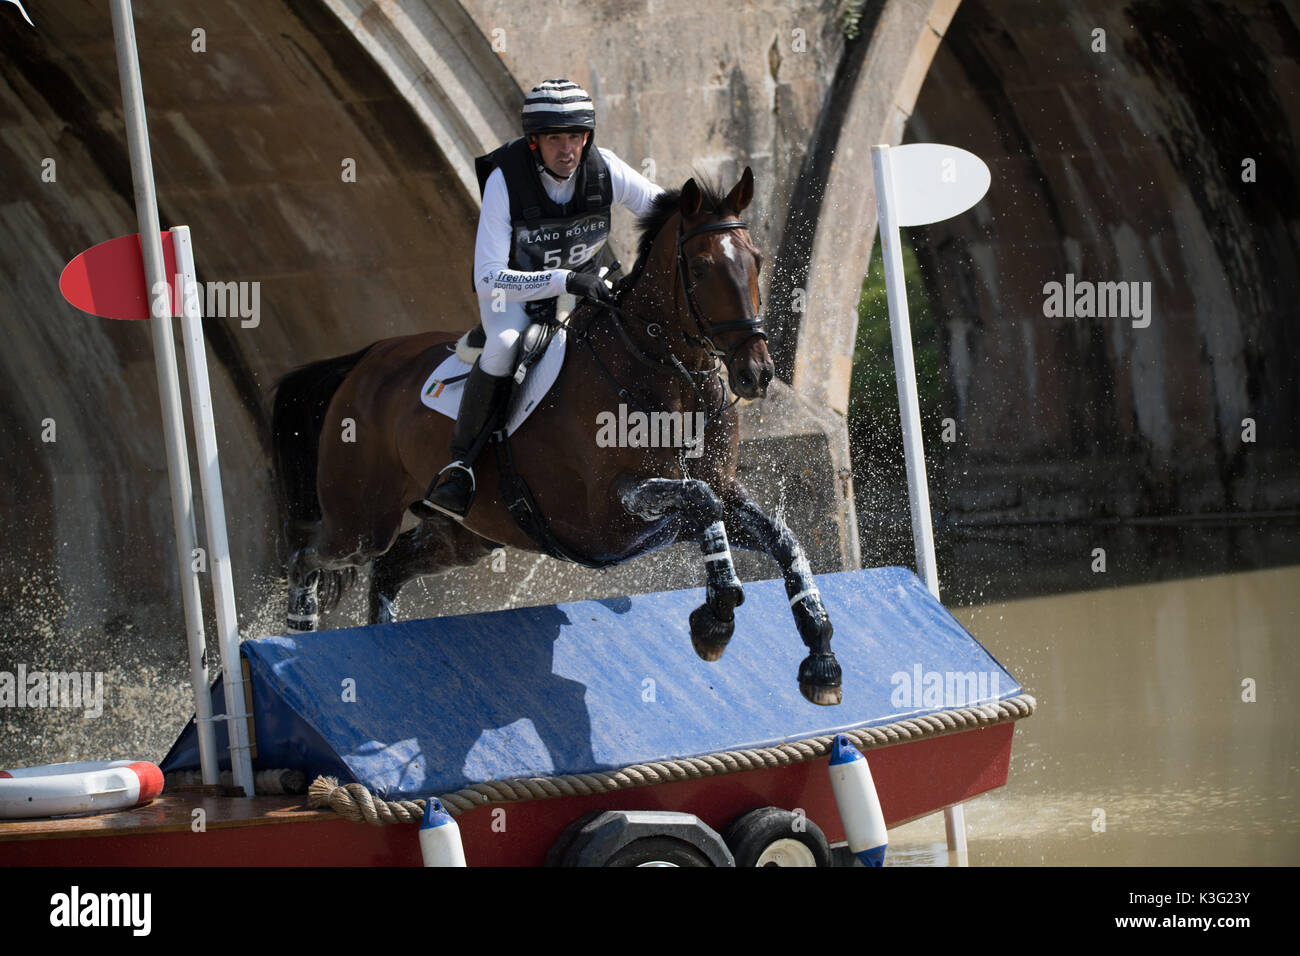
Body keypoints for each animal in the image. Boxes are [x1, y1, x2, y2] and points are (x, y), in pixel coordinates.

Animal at [271, 166, 842, 702]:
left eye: (757, 261)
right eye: (700, 268)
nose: (757, 374)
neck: (674, 381)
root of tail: (368, 357)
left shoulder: (717, 495)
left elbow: (779, 536)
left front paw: (820, 654)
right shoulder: (610, 511)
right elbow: (701, 501)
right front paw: (716, 621)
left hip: (466, 534)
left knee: (389, 568)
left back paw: (378, 640)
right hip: (361, 520)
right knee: (310, 555)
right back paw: (301, 631)